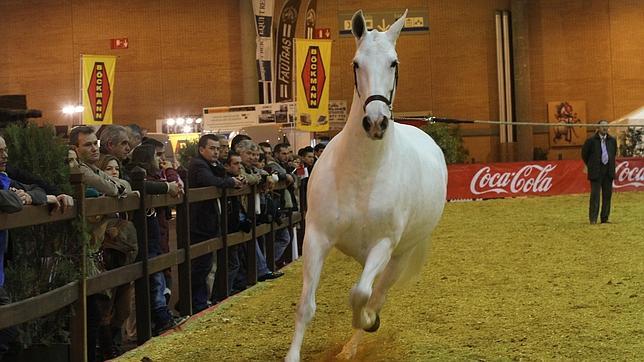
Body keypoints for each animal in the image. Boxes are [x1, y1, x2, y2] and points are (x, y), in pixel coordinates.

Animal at [286, 9, 448, 362]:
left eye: (394, 63)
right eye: (356, 64)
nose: (375, 123)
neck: (362, 174)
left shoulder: (384, 244)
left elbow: (360, 293)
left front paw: (368, 321)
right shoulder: (316, 237)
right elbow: (306, 306)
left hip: (400, 254)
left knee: (379, 291)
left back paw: (357, 339)